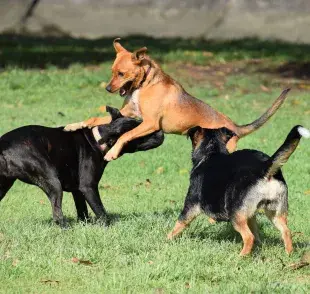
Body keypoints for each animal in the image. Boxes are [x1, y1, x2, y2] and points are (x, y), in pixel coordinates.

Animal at [0, 107, 165, 226]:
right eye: (141, 132)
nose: (161, 130)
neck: (99, 139)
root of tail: (3, 146)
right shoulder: (88, 187)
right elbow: (101, 211)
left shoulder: (78, 191)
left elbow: (83, 211)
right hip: (53, 182)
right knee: (57, 214)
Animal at [64, 38, 290, 162]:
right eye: (112, 72)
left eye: (121, 74)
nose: (108, 88)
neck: (144, 85)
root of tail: (234, 127)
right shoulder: (126, 114)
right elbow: (93, 119)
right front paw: (74, 125)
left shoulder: (150, 123)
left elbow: (124, 136)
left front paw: (111, 153)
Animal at [168, 124, 308, 255]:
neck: (211, 152)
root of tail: (265, 166)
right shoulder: (250, 214)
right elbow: (256, 232)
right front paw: (258, 247)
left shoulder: (191, 206)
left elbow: (179, 224)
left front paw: (167, 239)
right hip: (275, 212)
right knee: (286, 231)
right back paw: (288, 254)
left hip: (235, 214)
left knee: (248, 237)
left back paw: (241, 257)